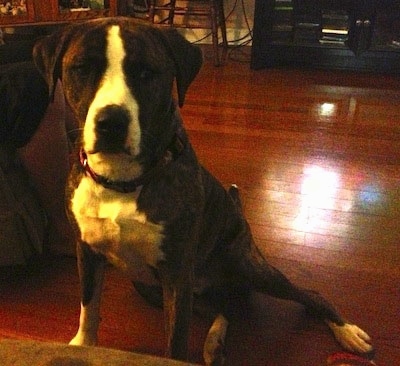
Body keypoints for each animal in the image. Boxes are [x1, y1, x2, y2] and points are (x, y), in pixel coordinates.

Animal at [32, 18, 374, 364]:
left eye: (146, 73)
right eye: (82, 68)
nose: (111, 122)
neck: (123, 180)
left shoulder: (176, 275)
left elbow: (175, 343)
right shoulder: (87, 251)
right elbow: (88, 304)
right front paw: (82, 345)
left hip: (244, 264)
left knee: (304, 294)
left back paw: (346, 330)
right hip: (151, 286)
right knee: (223, 307)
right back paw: (214, 341)